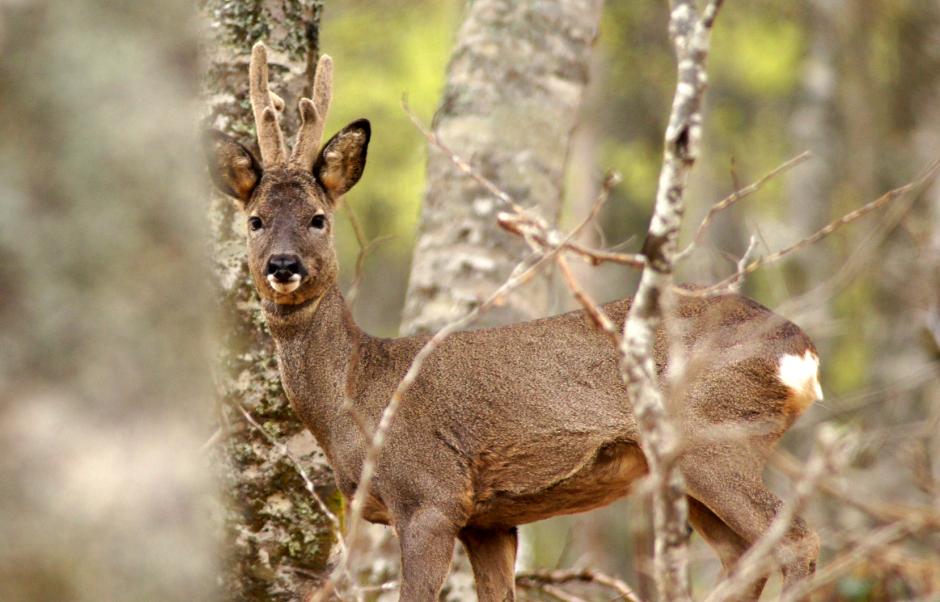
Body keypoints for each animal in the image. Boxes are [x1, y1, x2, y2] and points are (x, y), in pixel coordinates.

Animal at [204, 43, 824, 602]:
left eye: (319, 219)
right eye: (255, 220)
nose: (284, 266)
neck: (356, 397)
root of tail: (801, 351)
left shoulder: (431, 493)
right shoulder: (490, 519)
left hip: (715, 437)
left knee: (798, 540)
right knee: (742, 554)